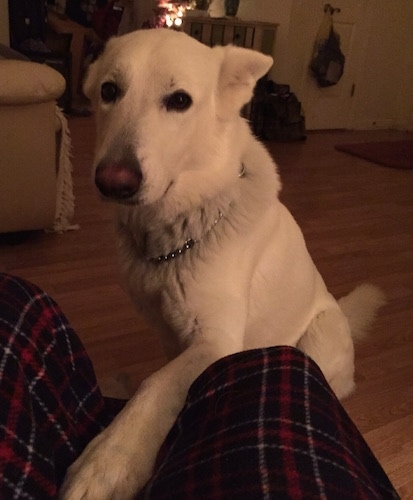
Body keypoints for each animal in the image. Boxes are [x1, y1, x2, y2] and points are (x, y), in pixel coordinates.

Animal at [60, 29, 384, 498]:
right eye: (109, 92)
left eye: (179, 100)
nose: (113, 182)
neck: (178, 229)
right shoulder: (171, 334)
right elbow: (165, 376)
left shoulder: (216, 340)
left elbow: (156, 386)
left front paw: (108, 463)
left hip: (316, 337)